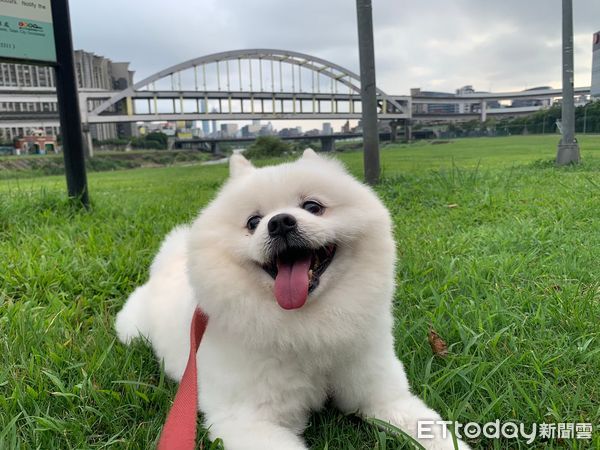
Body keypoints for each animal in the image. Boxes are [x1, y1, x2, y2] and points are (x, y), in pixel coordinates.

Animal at [113, 149, 468, 448]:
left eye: (313, 207)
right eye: (253, 222)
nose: (280, 222)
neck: (309, 326)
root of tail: (168, 262)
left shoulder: (382, 395)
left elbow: (434, 432)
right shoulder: (250, 421)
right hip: (132, 331)